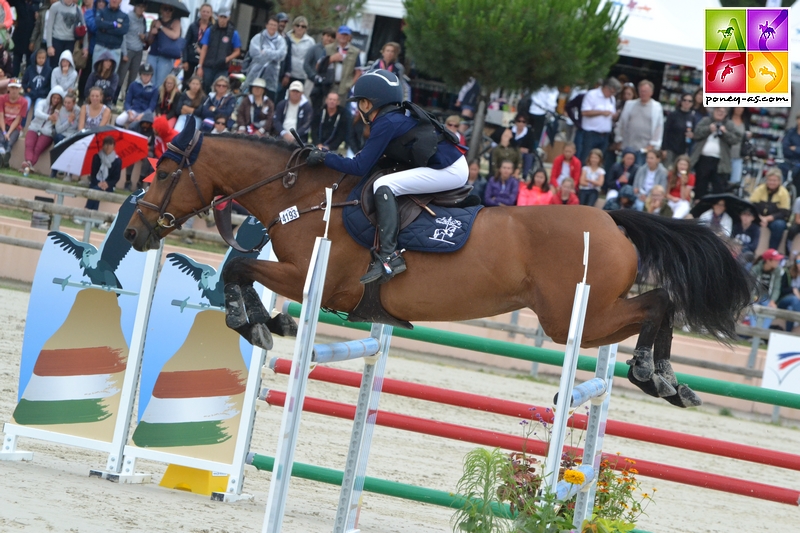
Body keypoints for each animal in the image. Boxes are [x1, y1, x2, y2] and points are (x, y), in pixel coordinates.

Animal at [122, 131, 752, 406]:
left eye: (163, 173)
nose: (133, 233)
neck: (306, 195)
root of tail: (613, 221)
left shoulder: (316, 279)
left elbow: (238, 268)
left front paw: (254, 323)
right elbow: (241, 268)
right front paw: (267, 321)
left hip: (575, 317)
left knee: (658, 304)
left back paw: (653, 375)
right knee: (659, 306)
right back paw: (668, 381)